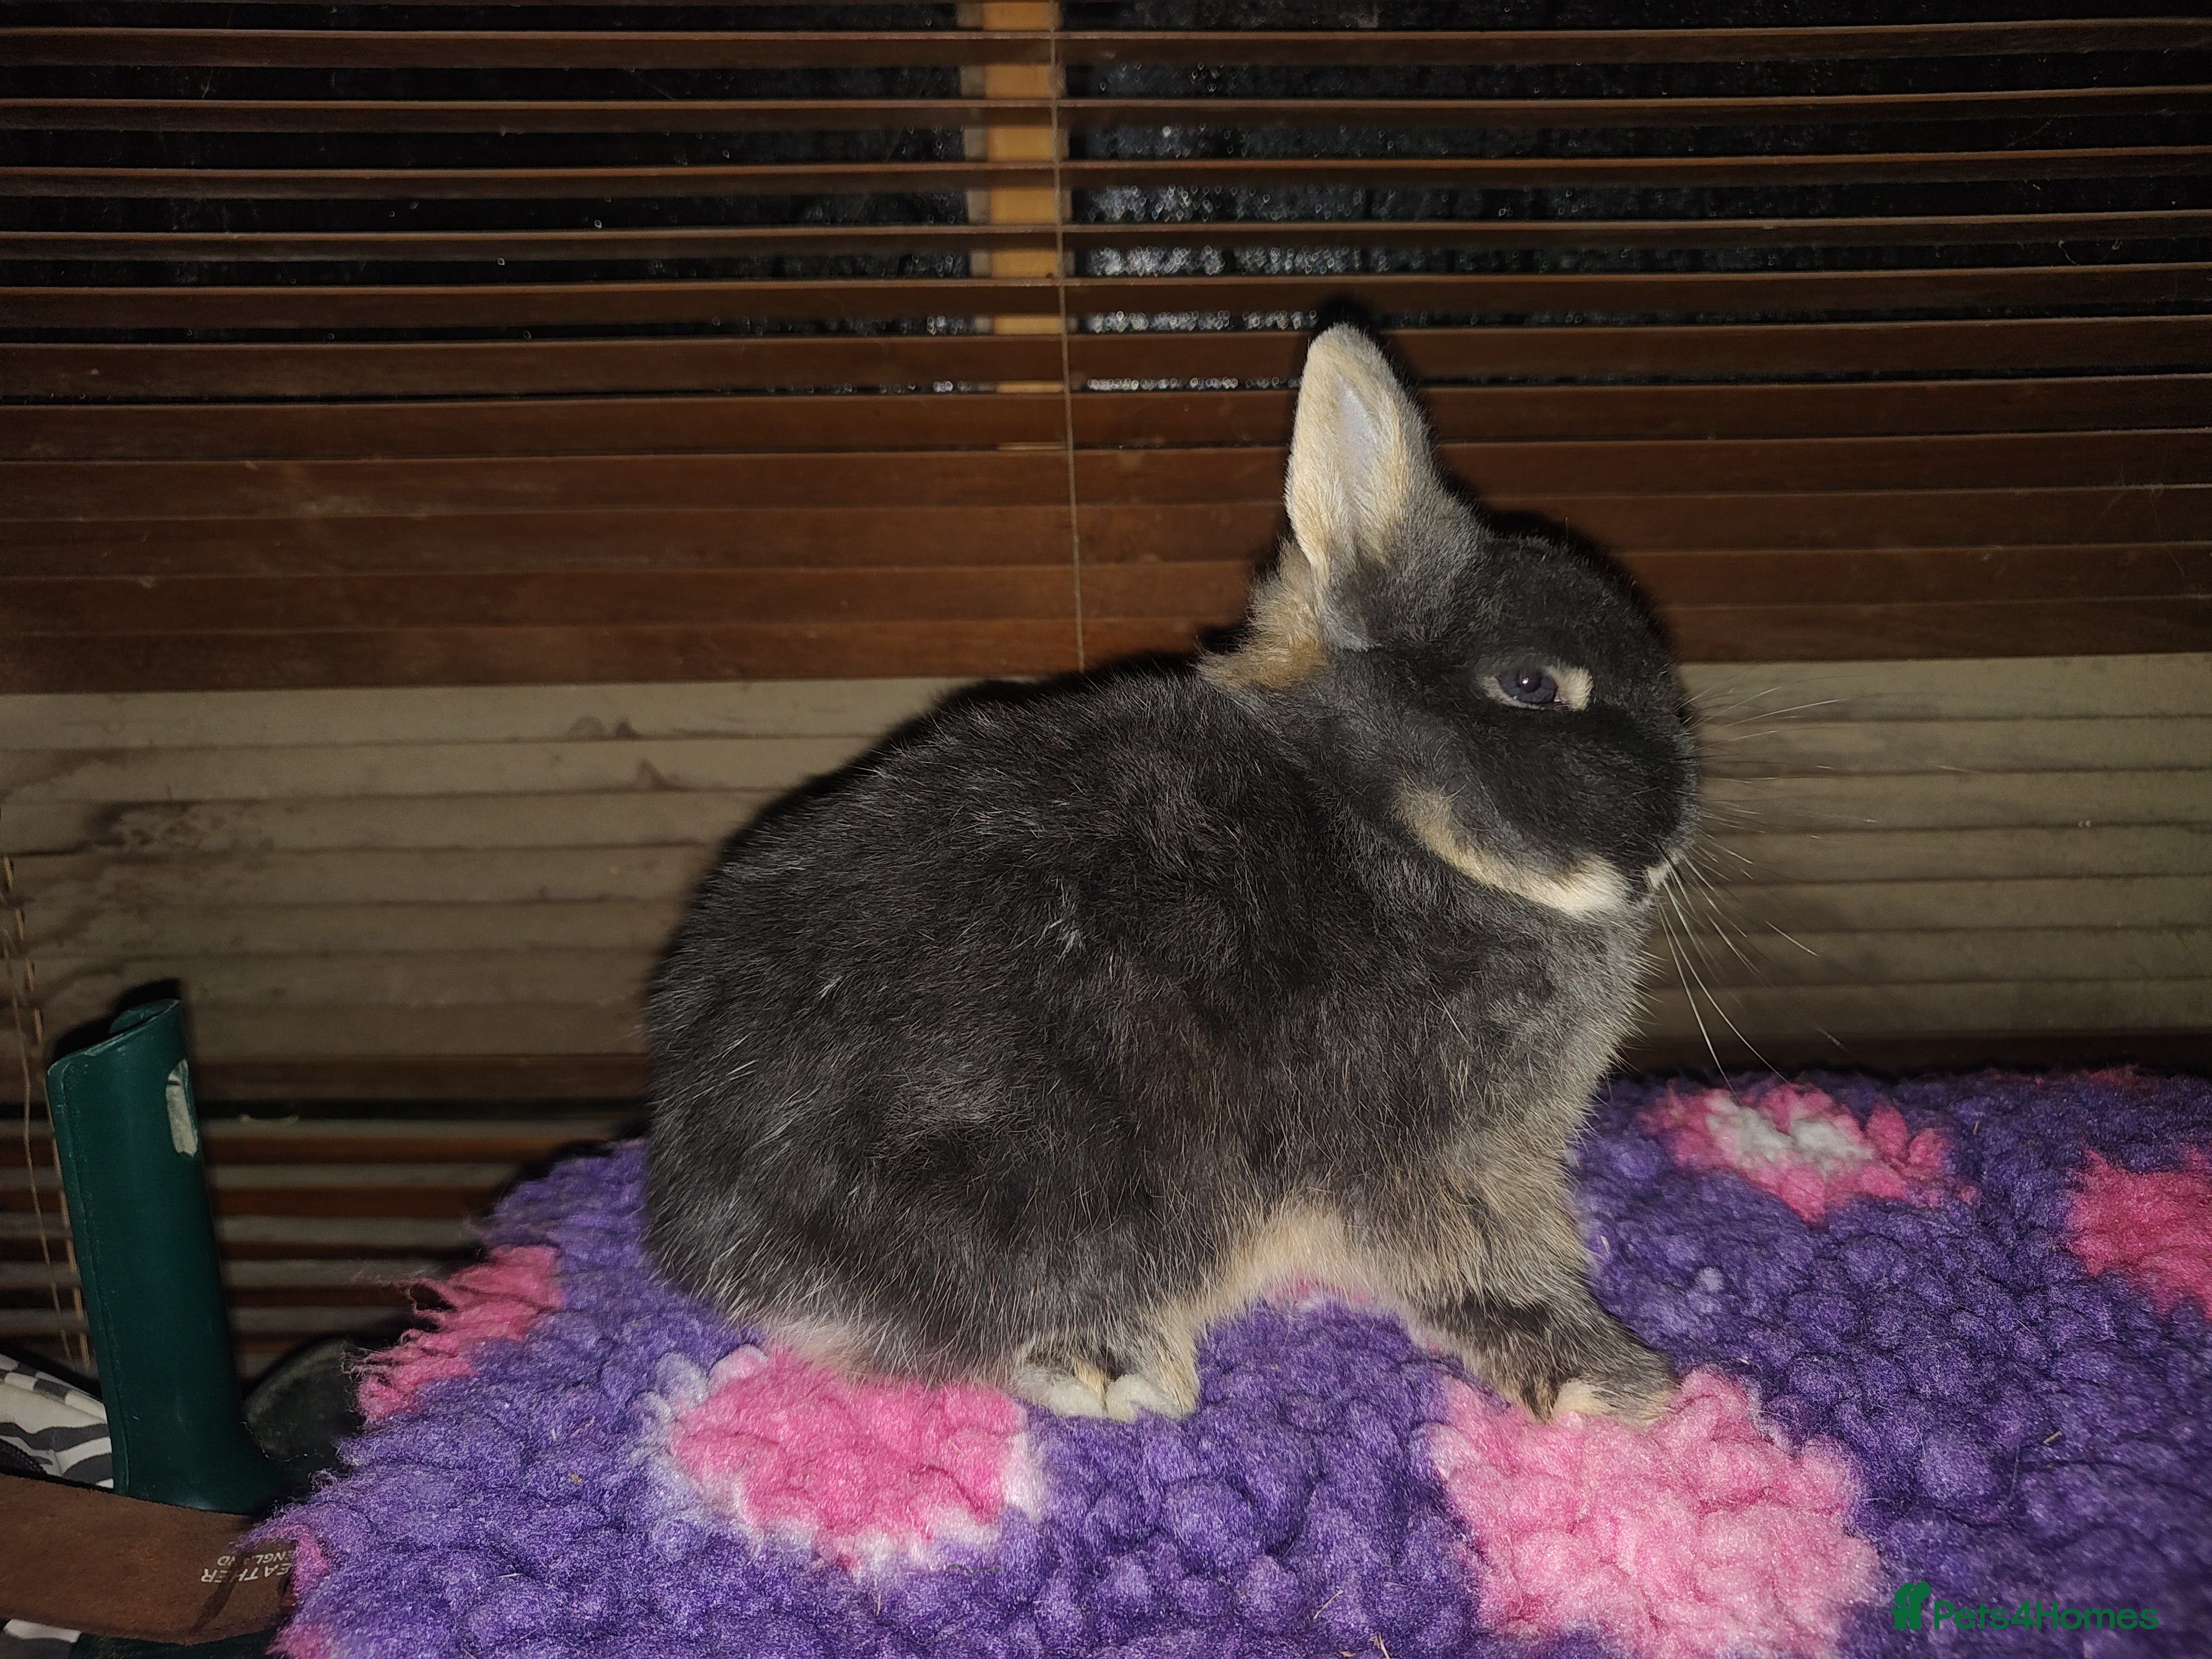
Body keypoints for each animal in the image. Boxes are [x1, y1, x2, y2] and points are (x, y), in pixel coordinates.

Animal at [644, 322, 1697, 1425]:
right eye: (1532, 684)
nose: (1669, 844)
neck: (1382, 821)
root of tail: (706, 1229)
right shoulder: (1447, 1164)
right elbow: (1485, 1269)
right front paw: (1615, 1384)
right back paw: (1117, 1363)